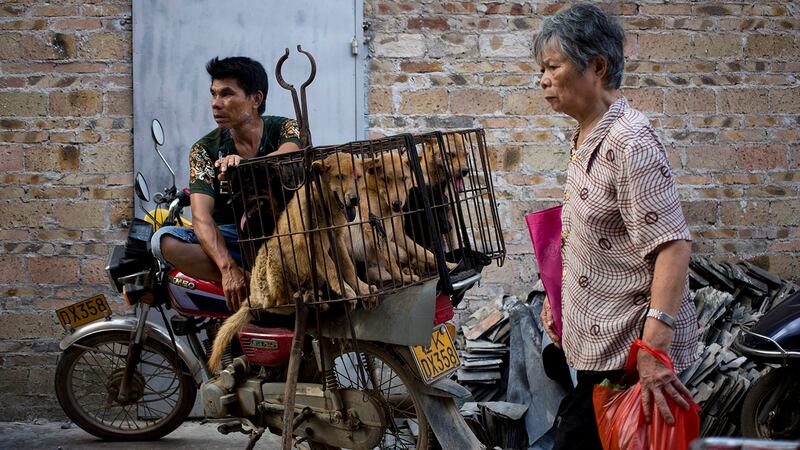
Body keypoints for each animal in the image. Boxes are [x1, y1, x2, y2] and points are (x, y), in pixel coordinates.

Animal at [205, 153, 370, 370]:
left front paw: (363, 288)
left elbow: (348, 268)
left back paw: (312, 294)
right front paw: (347, 293)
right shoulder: (314, 244)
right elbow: (334, 271)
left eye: (357, 177)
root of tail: (252, 298)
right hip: (272, 257)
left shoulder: (336, 239)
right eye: (339, 177)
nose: (354, 199)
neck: (325, 204)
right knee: (276, 303)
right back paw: (305, 302)